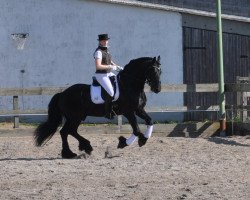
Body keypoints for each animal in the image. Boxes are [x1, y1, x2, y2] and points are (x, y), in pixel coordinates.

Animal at [33, 55, 162, 158]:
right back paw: (81, 148)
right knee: (68, 131)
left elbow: (150, 121)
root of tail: (62, 93)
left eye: (160, 71)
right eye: (152, 70)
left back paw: (73, 152)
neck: (129, 85)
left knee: (66, 132)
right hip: (75, 117)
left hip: (74, 118)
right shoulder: (129, 112)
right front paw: (125, 142)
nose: (157, 89)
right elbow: (136, 130)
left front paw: (142, 139)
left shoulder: (139, 110)